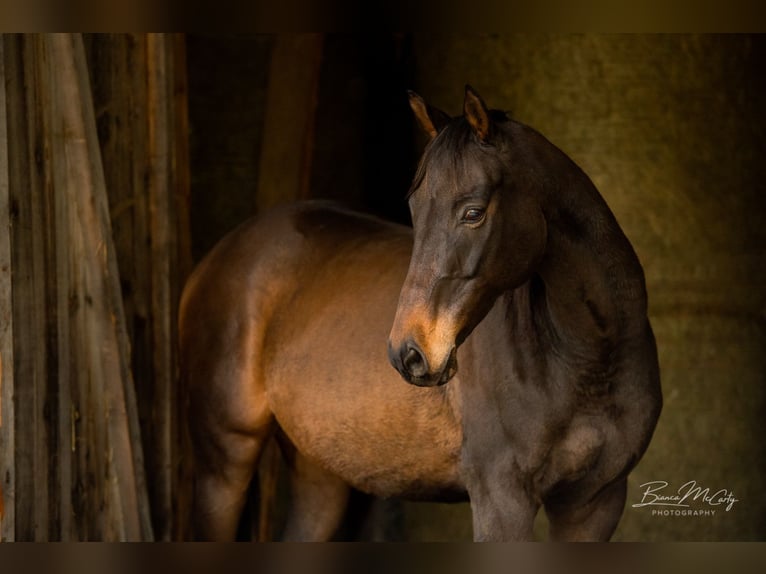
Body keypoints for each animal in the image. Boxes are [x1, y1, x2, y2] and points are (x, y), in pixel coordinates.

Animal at [179, 86, 662, 541]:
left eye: (473, 212)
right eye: (414, 208)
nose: (407, 353)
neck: (584, 358)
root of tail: (215, 258)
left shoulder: (594, 503)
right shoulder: (502, 498)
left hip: (321, 473)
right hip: (223, 463)